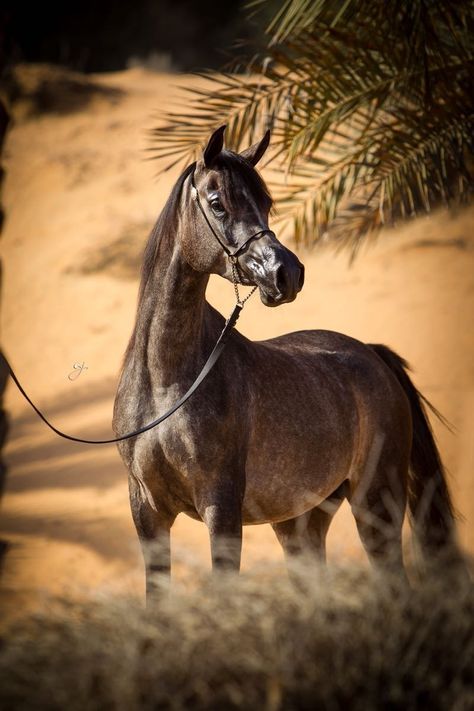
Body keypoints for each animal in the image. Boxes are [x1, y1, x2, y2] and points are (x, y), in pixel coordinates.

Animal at [113, 125, 462, 596]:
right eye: (218, 202)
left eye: (265, 203)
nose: (287, 273)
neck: (168, 384)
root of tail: (373, 355)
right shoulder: (147, 513)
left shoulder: (220, 509)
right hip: (301, 521)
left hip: (376, 504)